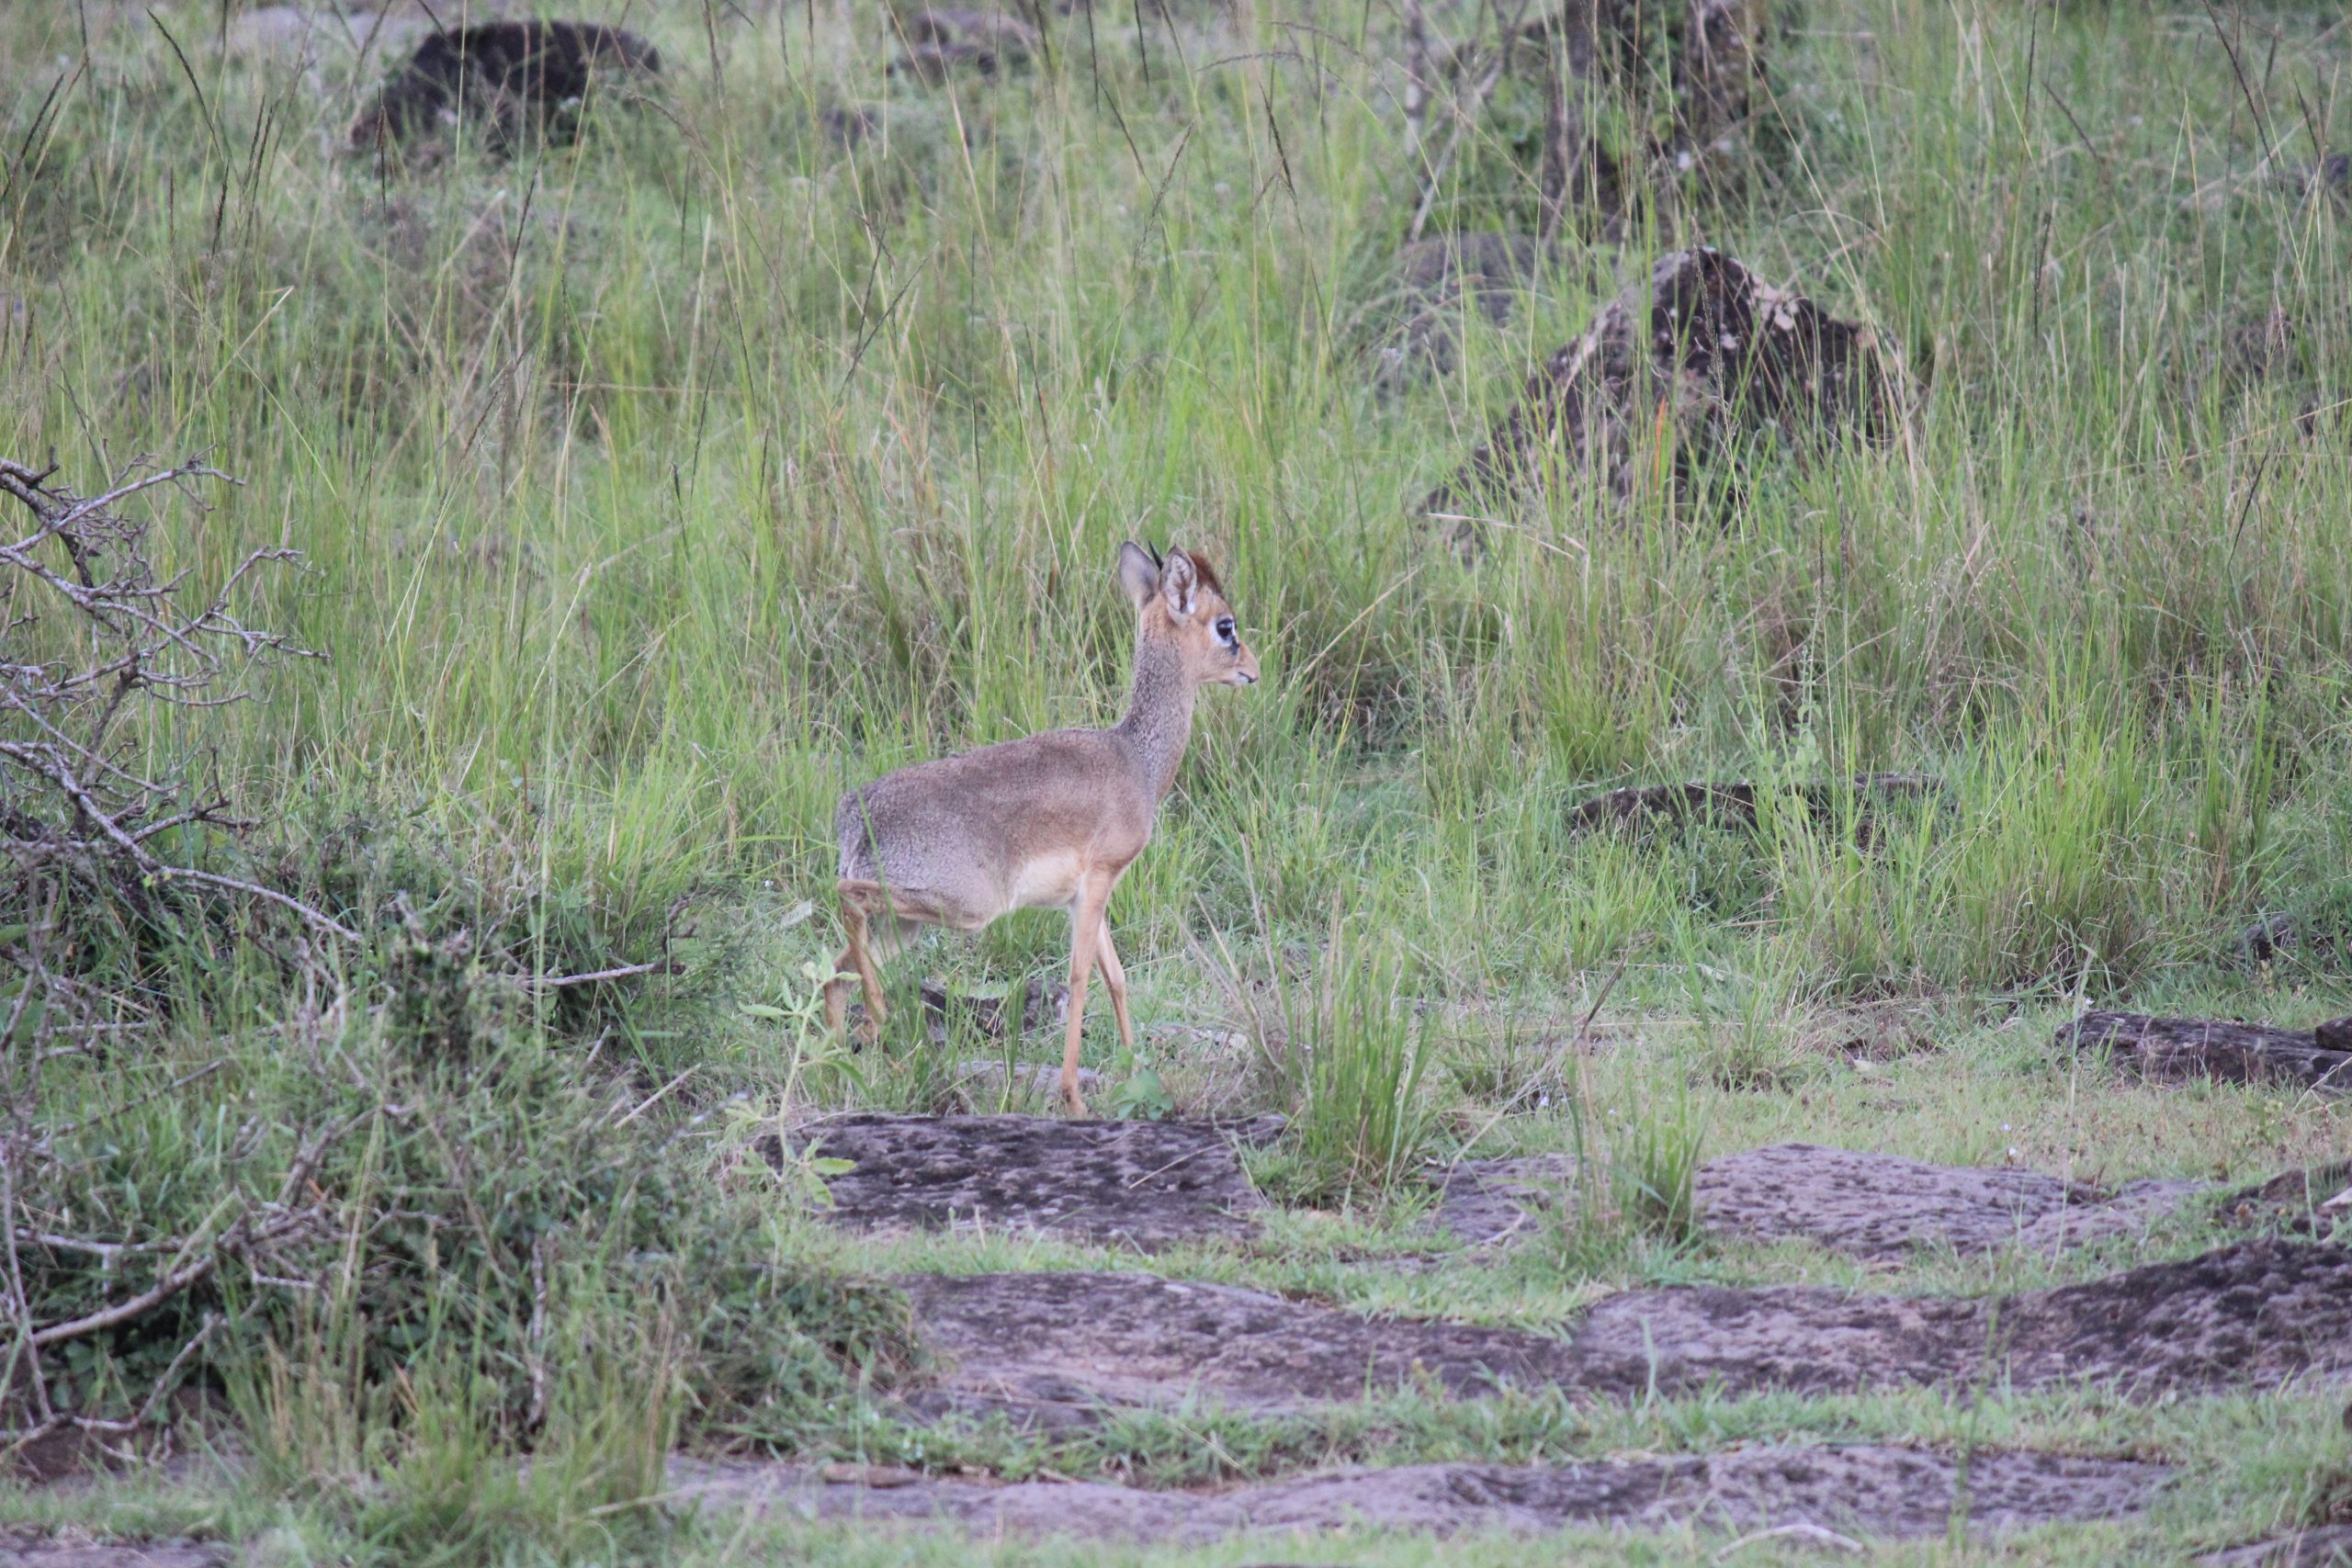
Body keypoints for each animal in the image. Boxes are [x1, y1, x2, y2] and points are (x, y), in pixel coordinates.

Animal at [823, 543, 1259, 1115]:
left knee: (834, 975)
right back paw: (878, 1022)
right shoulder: (1099, 881)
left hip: (906, 925)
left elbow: (1117, 979)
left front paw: (1135, 1072)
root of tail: (855, 812)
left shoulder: (1085, 897)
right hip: (961, 908)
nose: (1253, 670)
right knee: (844, 900)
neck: (1136, 759)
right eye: (1225, 625)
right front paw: (1073, 1097)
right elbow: (1080, 979)